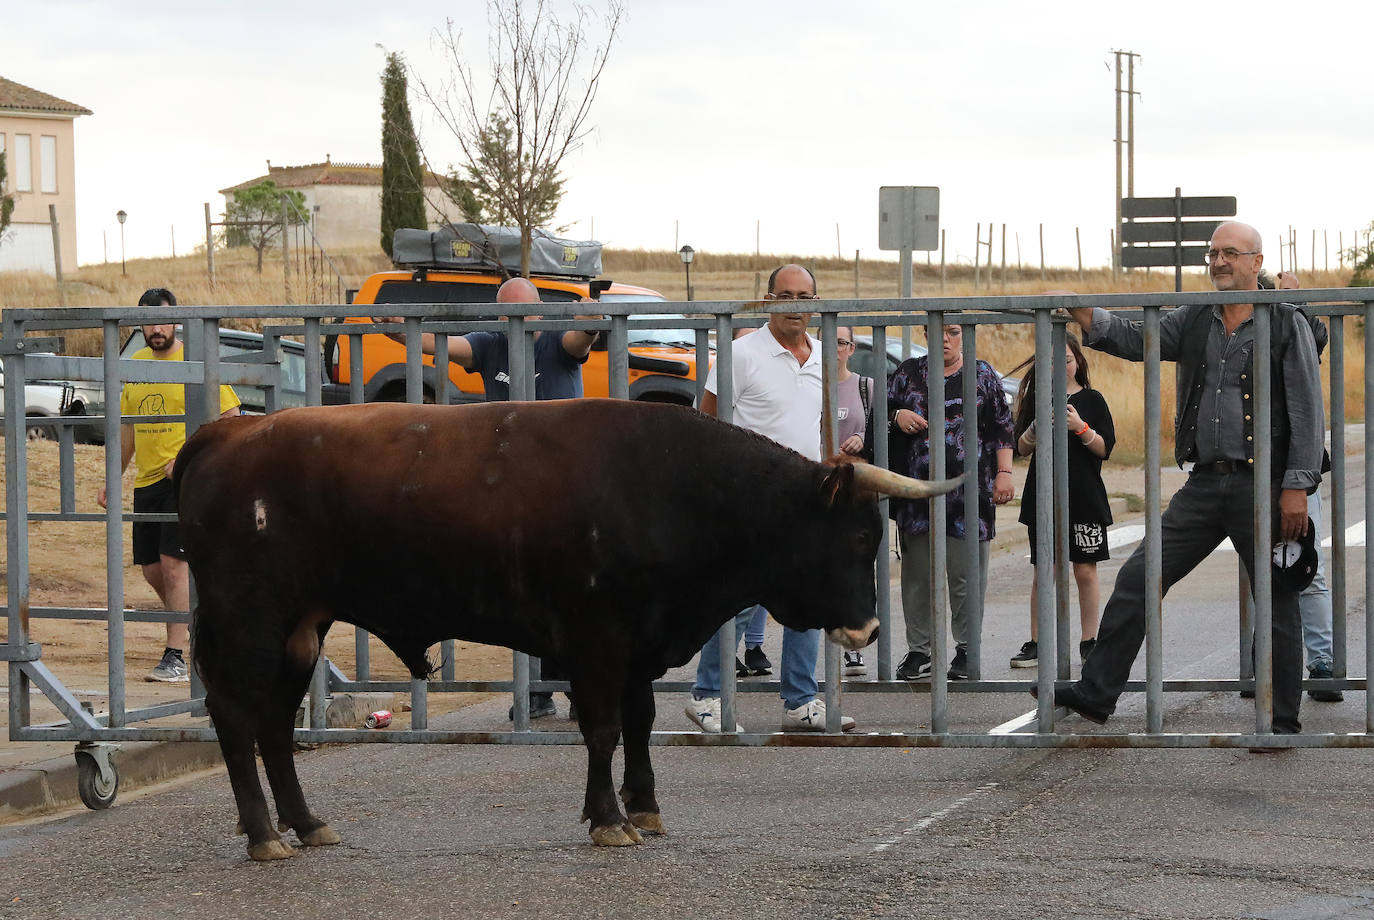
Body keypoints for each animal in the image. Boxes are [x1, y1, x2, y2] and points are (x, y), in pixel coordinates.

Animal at [171, 400, 956, 862]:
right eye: (857, 537)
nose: (869, 629)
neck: (671, 485)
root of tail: (227, 431)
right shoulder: (597, 641)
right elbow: (604, 729)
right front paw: (609, 817)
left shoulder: (640, 644)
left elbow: (639, 724)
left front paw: (645, 807)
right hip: (251, 618)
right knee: (237, 717)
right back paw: (265, 836)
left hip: (301, 628)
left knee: (275, 724)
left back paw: (305, 824)